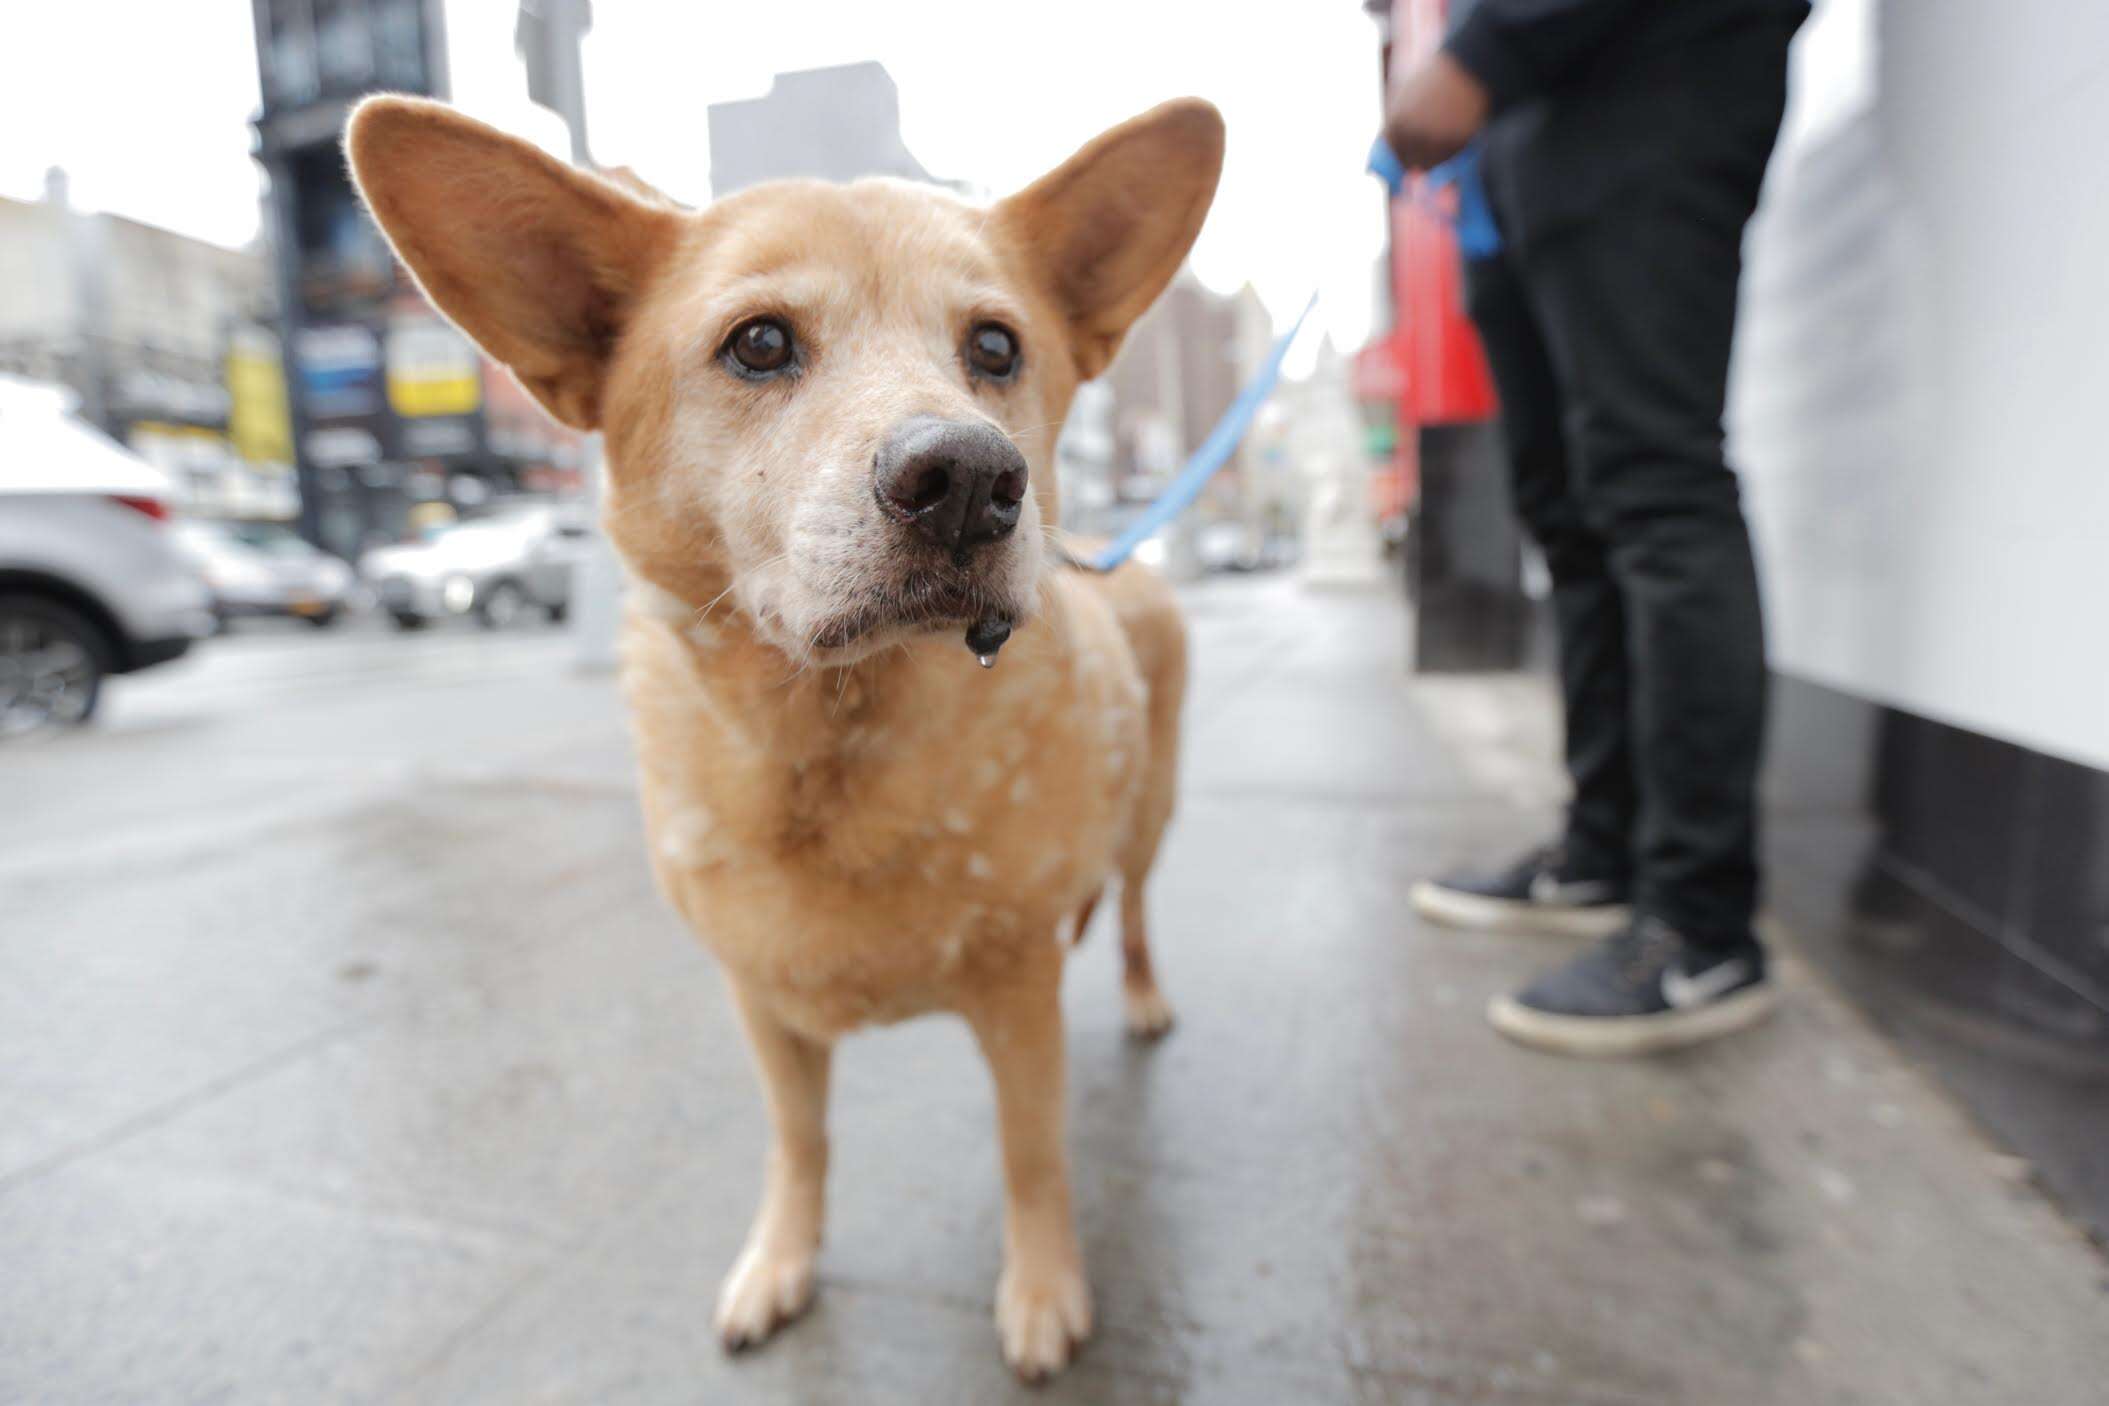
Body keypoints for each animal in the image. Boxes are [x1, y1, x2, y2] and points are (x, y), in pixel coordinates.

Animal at [345, 93, 1223, 1382]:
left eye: (996, 348)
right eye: (758, 344)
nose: (972, 476)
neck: (834, 737)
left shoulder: (1020, 998)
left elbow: (1032, 1152)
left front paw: (1043, 1287)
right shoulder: (760, 1003)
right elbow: (798, 1142)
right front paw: (782, 1260)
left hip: (1154, 815)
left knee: (1141, 907)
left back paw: (1152, 992)